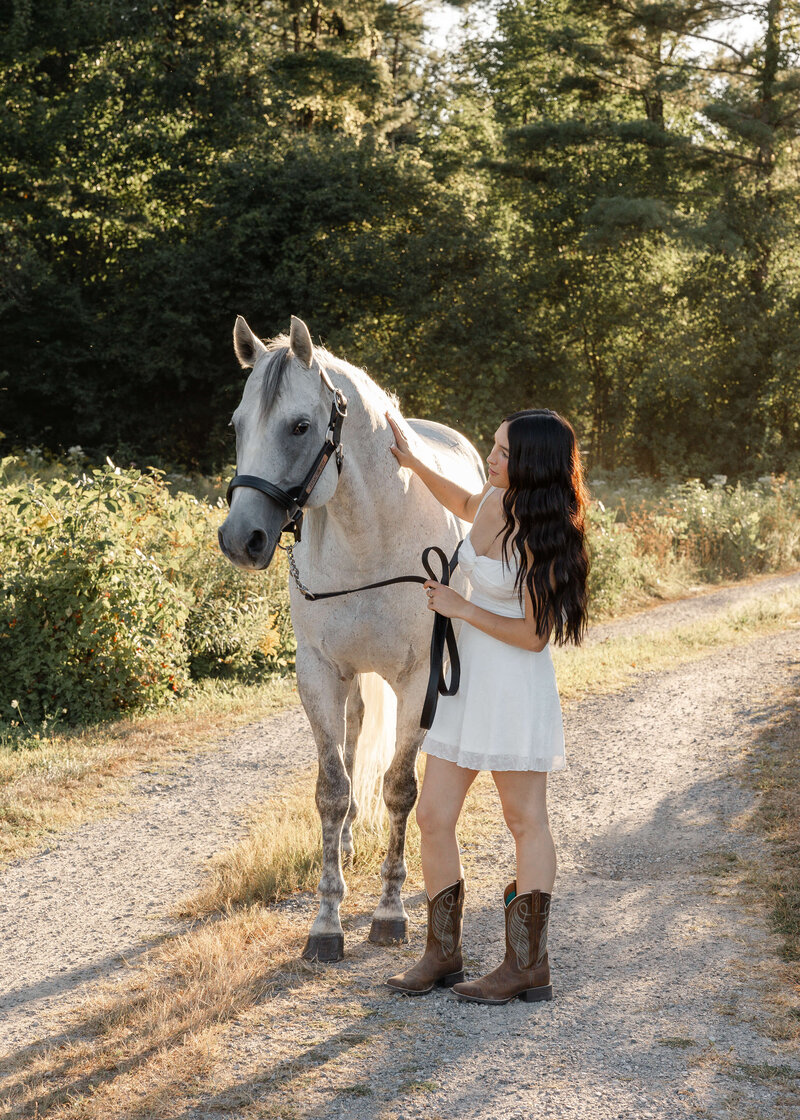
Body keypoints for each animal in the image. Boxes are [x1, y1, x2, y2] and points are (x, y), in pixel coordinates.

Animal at [218, 314, 484, 961]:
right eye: (237, 425)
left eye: (300, 425)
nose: (241, 539)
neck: (369, 537)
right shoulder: (320, 673)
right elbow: (332, 788)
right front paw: (326, 920)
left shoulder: (420, 679)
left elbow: (401, 788)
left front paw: (389, 910)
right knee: (359, 732)